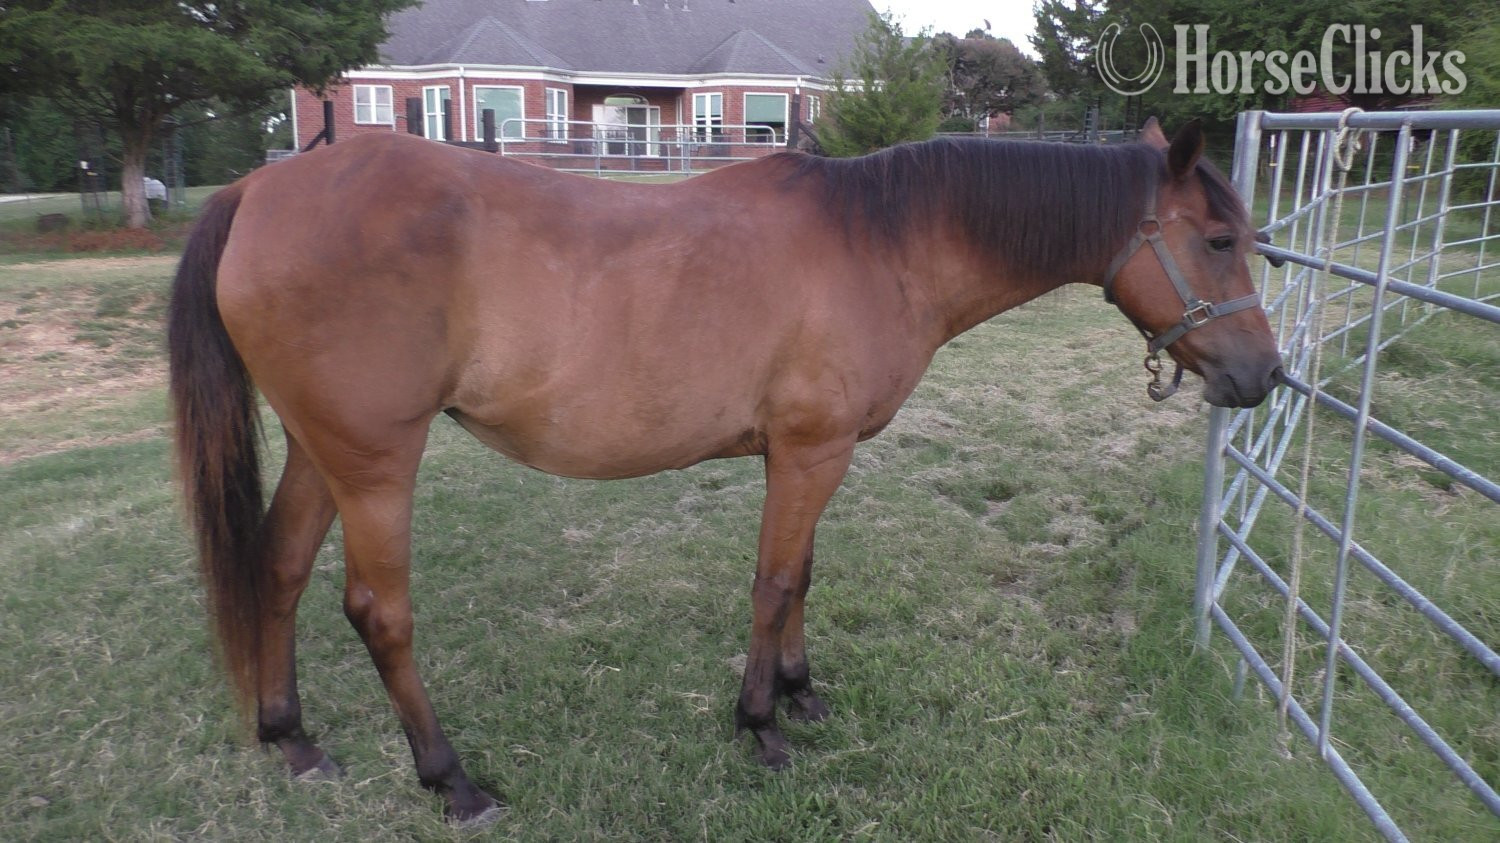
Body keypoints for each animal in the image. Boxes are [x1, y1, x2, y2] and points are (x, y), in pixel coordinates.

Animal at [168, 118, 1283, 823]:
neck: (883, 242)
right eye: (1218, 237)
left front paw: (800, 693)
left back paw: (292, 738)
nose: (1263, 375)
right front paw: (761, 727)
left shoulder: (813, 456)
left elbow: (803, 576)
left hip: (323, 451)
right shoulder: (809, 451)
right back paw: (452, 781)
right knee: (378, 612)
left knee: (277, 569)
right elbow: (776, 580)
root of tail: (262, 187)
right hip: (376, 462)